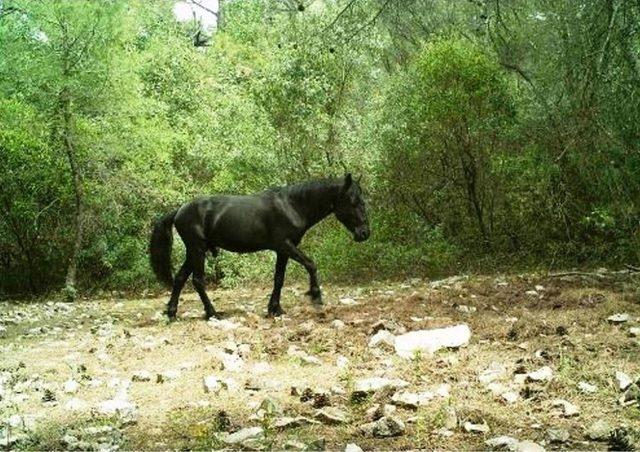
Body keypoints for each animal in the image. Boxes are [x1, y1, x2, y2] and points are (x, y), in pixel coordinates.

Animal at [150, 173, 370, 318]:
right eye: (353, 201)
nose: (365, 233)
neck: (292, 206)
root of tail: (180, 210)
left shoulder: (283, 251)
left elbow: (279, 279)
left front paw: (275, 309)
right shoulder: (286, 245)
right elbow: (311, 264)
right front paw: (315, 295)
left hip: (194, 251)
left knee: (180, 278)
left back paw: (172, 312)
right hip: (197, 249)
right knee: (197, 281)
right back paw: (212, 313)